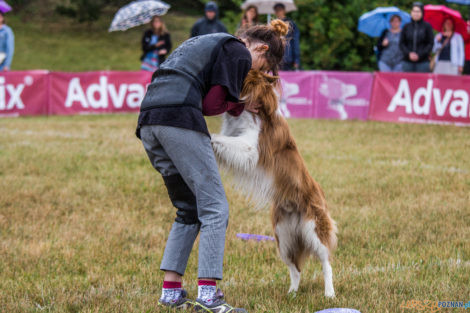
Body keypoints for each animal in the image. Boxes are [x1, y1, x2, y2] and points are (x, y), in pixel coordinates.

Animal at [211, 69, 336, 296]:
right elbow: (222, 140)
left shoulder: (251, 148)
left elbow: (217, 137)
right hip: (284, 237)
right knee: (295, 269)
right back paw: (292, 294)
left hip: (314, 229)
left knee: (326, 263)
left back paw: (329, 294)